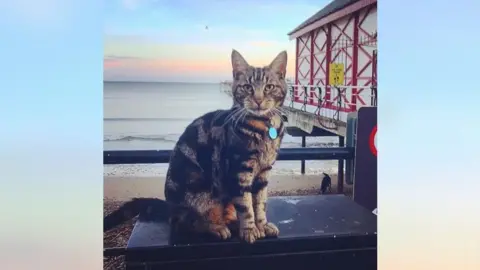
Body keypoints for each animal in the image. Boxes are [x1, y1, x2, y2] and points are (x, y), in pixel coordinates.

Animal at [103, 49, 286, 245]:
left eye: (269, 87)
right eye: (247, 87)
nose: (258, 100)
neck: (263, 128)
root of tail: (170, 207)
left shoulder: (263, 174)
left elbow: (260, 204)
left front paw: (262, 225)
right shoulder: (239, 171)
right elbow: (245, 206)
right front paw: (250, 229)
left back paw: (232, 224)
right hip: (200, 190)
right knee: (187, 224)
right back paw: (217, 228)